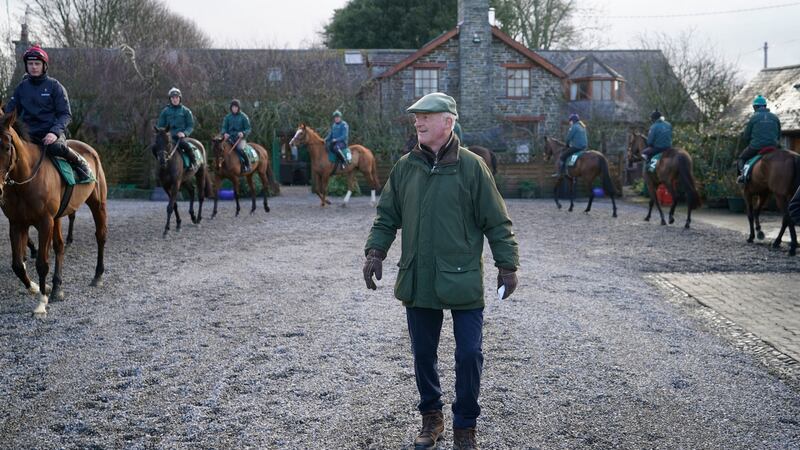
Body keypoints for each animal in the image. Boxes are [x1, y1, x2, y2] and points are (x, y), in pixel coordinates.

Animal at [0, 110, 108, 316]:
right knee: (59, 246)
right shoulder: (17, 222)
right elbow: (17, 264)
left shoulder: (45, 222)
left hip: (98, 203)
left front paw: (41, 303)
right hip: (57, 218)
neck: (25, 181)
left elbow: (42, 263)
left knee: (100, 235)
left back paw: (98, 275)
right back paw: (57, 287)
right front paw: (37, 287)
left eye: (7, 147)